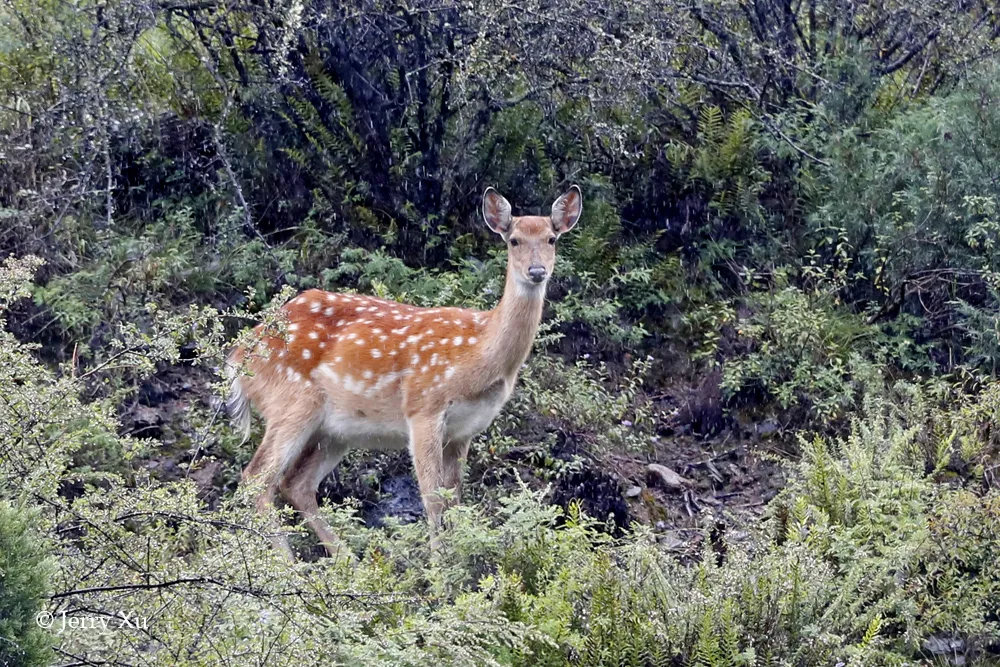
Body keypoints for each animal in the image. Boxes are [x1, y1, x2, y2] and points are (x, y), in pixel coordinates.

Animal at [225, 185, 584, 556]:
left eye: (552, 238)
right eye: (513, 240)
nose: (537, 271)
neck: (478, 357)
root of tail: (239, 354)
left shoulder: (465, 430)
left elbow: (455, 500)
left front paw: (460, 561)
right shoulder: (423, 408)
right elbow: (433, 499)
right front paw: (440, 567)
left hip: (335, 429)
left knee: (295, 482)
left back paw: (346, 560)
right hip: (290, 402)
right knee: (256, 478)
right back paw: (289, 564)